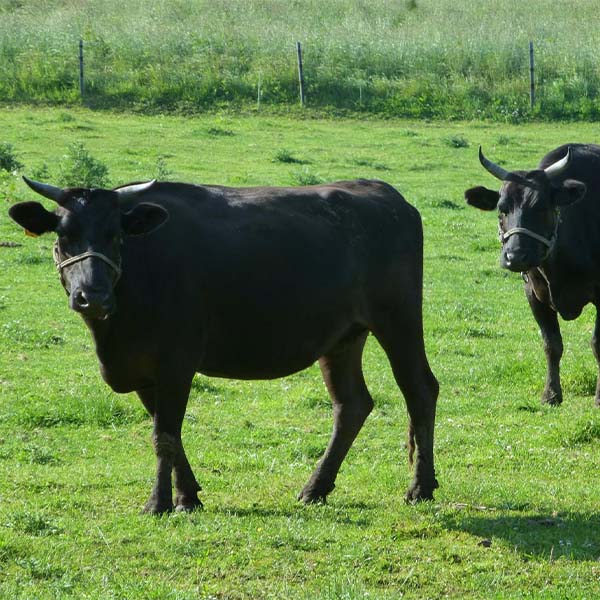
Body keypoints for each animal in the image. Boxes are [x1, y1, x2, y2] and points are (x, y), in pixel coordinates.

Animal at [8, 176, 440, 512]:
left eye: (116, 236)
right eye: (64, 236)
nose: (92, 296)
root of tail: (386, 194)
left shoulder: (176, 362)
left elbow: (164, 436)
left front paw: (158, 502)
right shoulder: (146, 372)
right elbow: (169, 433)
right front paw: (188, 496)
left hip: (398, 319)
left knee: (420, 389)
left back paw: (420, 487)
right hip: (343, 337)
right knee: (351, 404)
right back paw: (315, 488)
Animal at [466, 145, 600, 406]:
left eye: (540, 207)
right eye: (502, 209)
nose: (515, 256)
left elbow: (597, 343)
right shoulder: (534, 294)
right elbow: (552, 344)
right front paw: (551, 394)